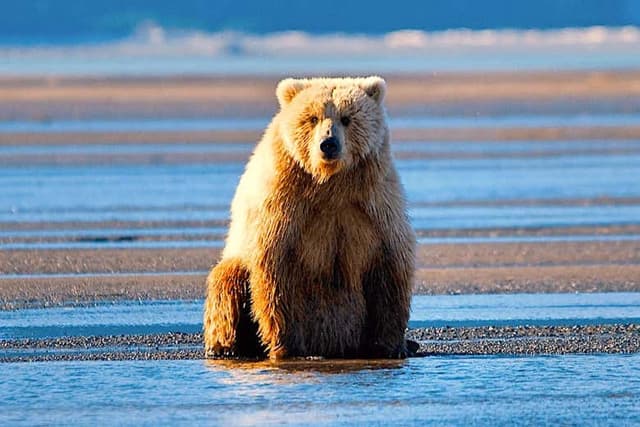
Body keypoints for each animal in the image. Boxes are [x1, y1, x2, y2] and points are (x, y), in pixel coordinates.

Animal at [203, 76, 415, 360]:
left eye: (346, 118)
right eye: (313, 118)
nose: (329, 144)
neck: (329, 181)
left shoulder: (374, 206)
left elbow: (389, 269)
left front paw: (389, 345)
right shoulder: (283, 208)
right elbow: (274, 273)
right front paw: (285, 345)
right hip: (235, 262)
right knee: (227, 281)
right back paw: (225, 347)